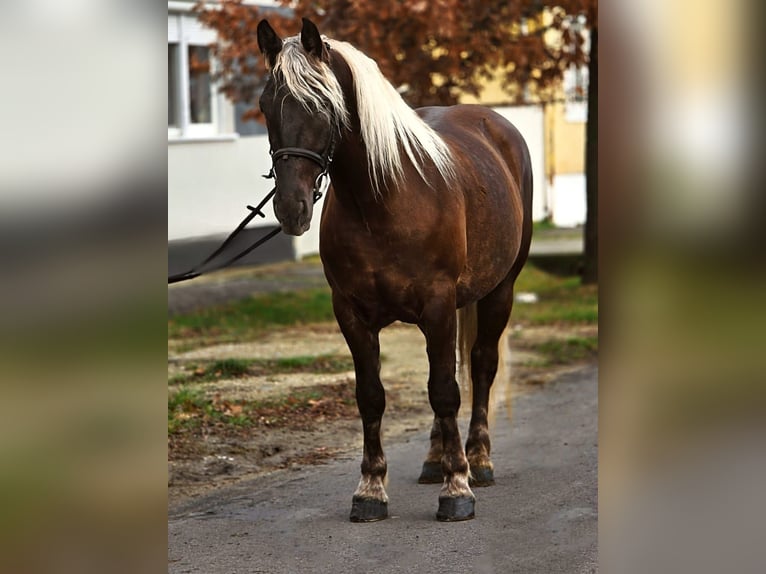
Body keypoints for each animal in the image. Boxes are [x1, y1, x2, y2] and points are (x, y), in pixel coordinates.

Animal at [256, 17, 533, 522]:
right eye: (266, 105)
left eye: (322, 104)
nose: (291, 208)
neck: (382, 200)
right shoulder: (351, 314)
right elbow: (372, 396)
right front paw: (370, 490)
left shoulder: (439, 305)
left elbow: (445, 390)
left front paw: (457, 489)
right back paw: (435, 458)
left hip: (499, 290)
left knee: (481, 365)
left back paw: (478, 460)